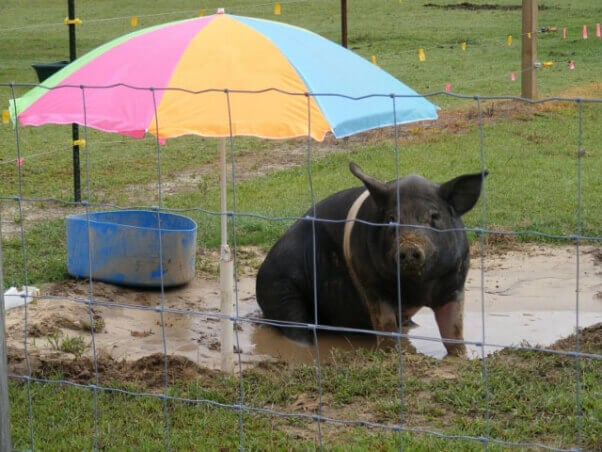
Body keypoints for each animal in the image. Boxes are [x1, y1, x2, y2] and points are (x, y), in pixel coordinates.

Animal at [255, 162, 486, 356]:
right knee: (296, 326)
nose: (409, 247)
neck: (417, 289)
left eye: (434, 217)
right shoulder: (372, 285)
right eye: (391, 219)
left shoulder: (454, 284)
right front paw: (393, 354)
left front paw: (460, 357)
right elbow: (386, 326)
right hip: (281, 290)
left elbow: (453, 331)